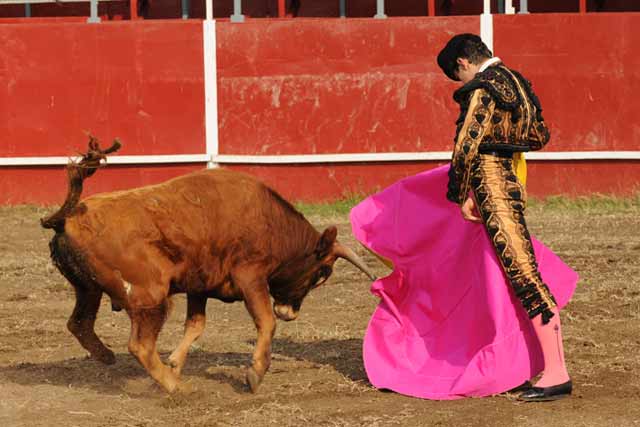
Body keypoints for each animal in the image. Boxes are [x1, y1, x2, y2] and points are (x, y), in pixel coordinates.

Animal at [41, 139, 376, 392]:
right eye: (321, 274)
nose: (290, 312)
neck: (273, 224)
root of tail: (67, 216)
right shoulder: (250, 276)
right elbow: (266, 321)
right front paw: (255, 373)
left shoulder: (198, 285)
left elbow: (196, 325)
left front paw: (175, 363)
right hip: (151, 295)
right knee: (140, 345)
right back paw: (175, 387)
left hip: (88, 288)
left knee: (80, 324)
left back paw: (109, 357)